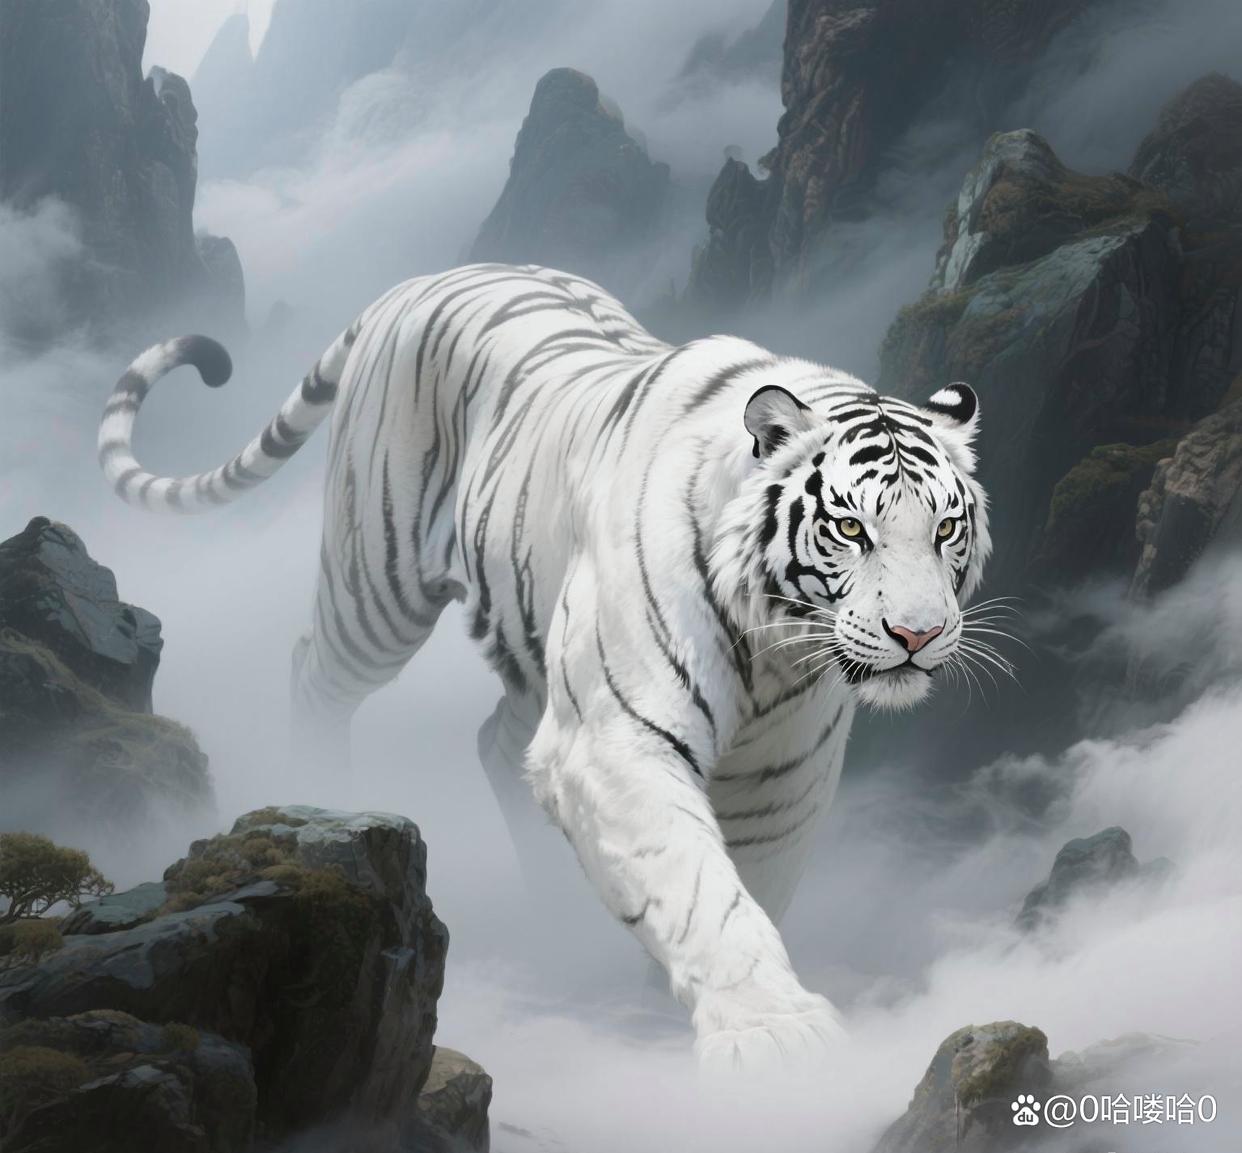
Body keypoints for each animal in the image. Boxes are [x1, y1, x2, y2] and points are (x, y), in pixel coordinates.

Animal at [98, 263, 992, 1071]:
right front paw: (773, 1033)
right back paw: (323, 788)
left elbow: (748, 884)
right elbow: (700, 885)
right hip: (376, 585)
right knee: (312, 670)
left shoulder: (781, 776)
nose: (917, 633)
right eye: (850, 527)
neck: (776, 649)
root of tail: (418, 280)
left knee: (496, 740)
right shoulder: (616, 737)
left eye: (946, 527)